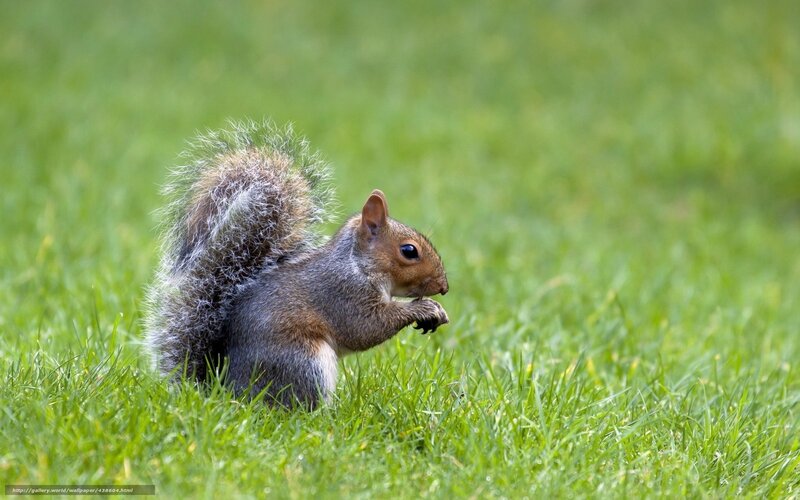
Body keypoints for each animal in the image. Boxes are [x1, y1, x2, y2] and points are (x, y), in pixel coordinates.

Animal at [144, 120, 450, 408]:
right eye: (409, 251)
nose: (444, 287)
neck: (357, 264)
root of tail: (226, 390)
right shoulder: (343, 294)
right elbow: (366, 328)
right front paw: (425, 308)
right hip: (304, 362)